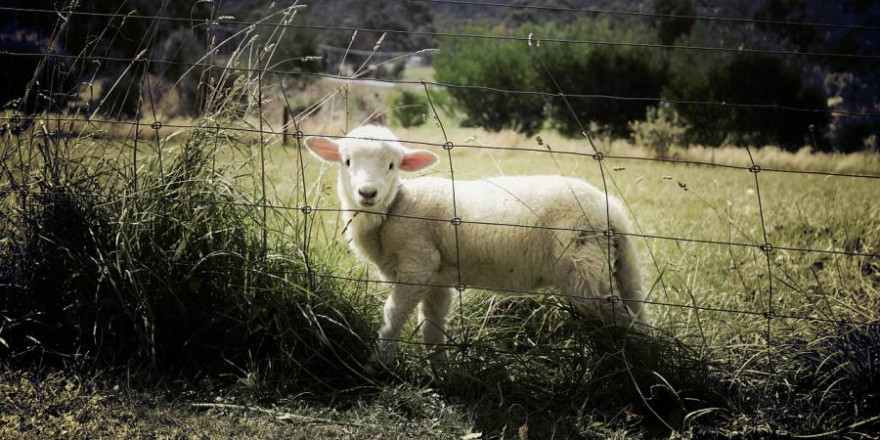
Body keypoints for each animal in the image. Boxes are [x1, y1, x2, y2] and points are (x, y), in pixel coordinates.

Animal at [306, 124, 648, 368]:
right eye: (347, 162)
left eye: (392, 165)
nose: (367, 193)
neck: (393, 209)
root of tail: (611, 212)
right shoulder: (437, 278)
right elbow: (432, 327)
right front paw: (439, 371)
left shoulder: (418, 264)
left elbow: (393, 316)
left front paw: (378, 364)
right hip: (616, 266)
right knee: (636, 311)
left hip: (583, 270)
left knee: (620, 318)